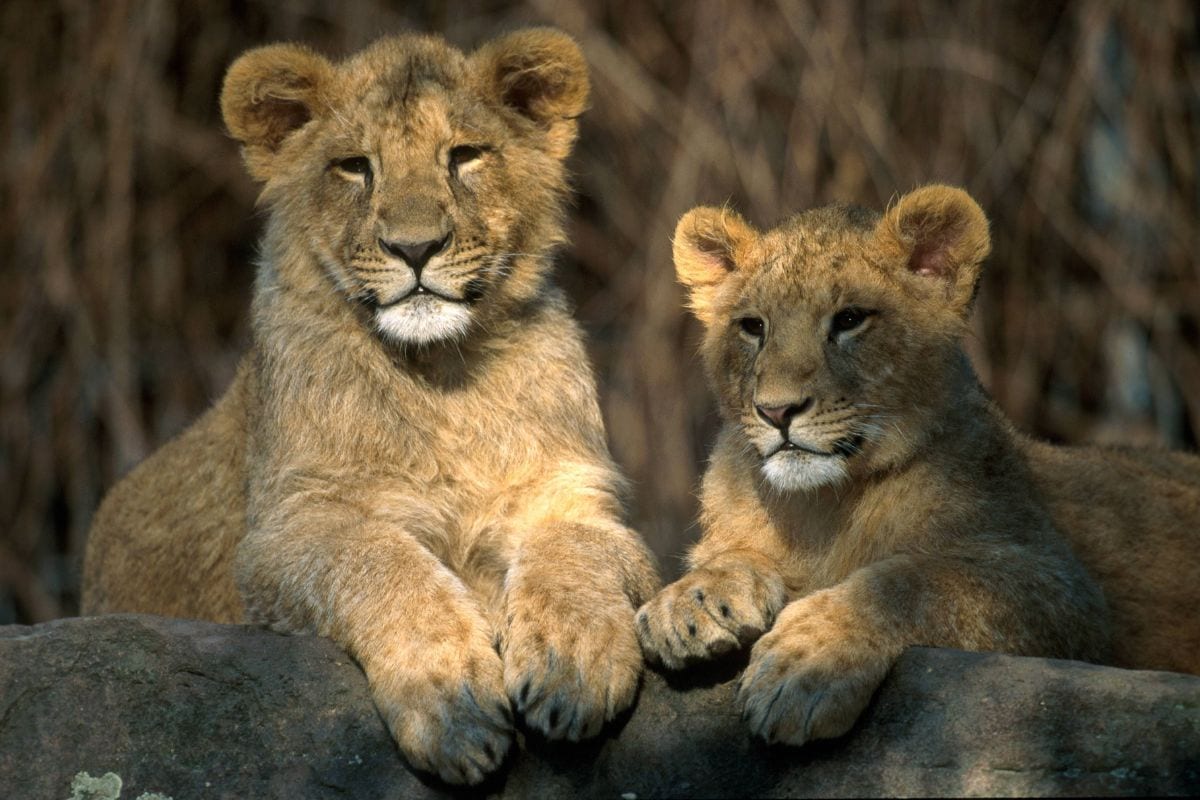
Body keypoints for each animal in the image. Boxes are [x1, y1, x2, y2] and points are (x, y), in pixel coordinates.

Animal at [81, 30, 660, 785]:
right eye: (355, 167)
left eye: (464, 155)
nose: (415, 248)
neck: (440, 376)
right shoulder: (283, 532)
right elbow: (383, 561)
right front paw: (451, 699)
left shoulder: (573, 495)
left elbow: (576, 553)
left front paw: (573, 663)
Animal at [636, 185, 1200, 747]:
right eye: (753, 327)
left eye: (849, 319)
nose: (776, 411)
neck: (821, 506)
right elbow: (730, 555)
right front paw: (689, 601)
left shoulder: (1063, 590)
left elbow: (911, 580)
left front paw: (803, 666)